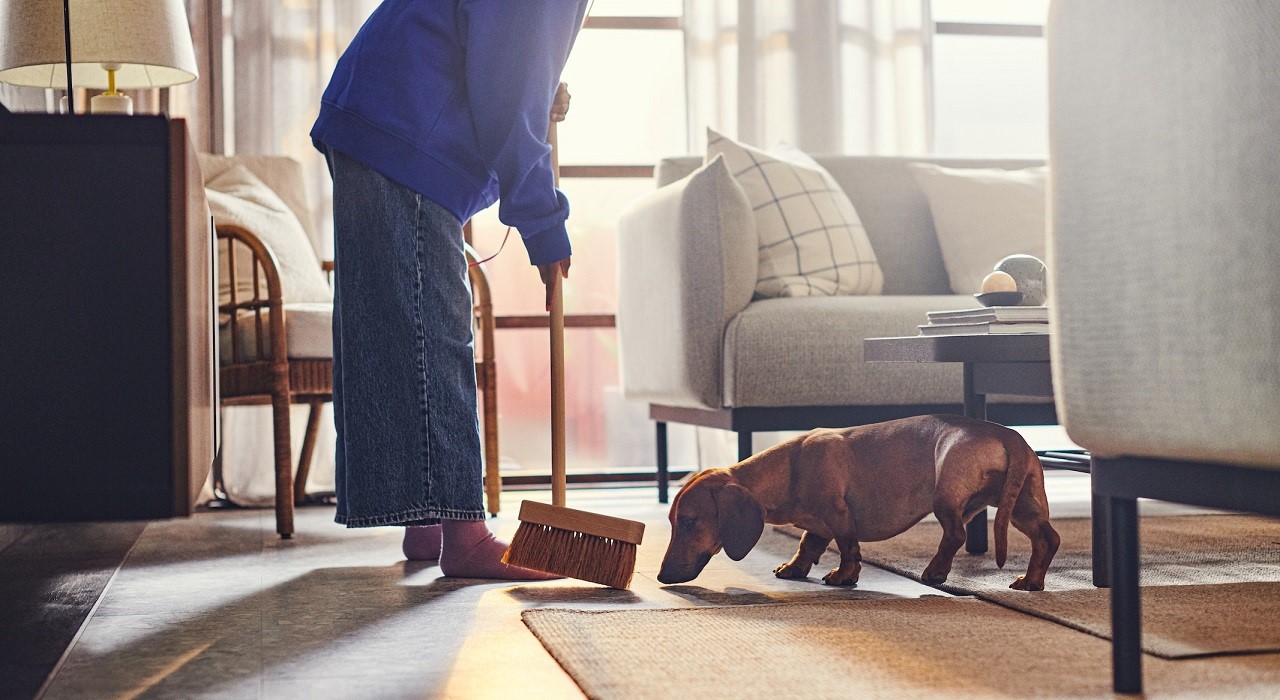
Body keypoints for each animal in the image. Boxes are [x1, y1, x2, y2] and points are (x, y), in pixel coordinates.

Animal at [660, 417, 1059, 591]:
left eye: (689, 522)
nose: (662, 576)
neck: (788, 468)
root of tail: (1008, 434)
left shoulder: (838, 515)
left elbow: (848, 548)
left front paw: (842, 577)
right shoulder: (818, 525)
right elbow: (807, 544)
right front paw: (793, 568)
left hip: (946, 496)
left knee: (956, 535)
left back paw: (935, 572)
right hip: (1021, 505)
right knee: (1048, 538)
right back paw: (1031, 581)